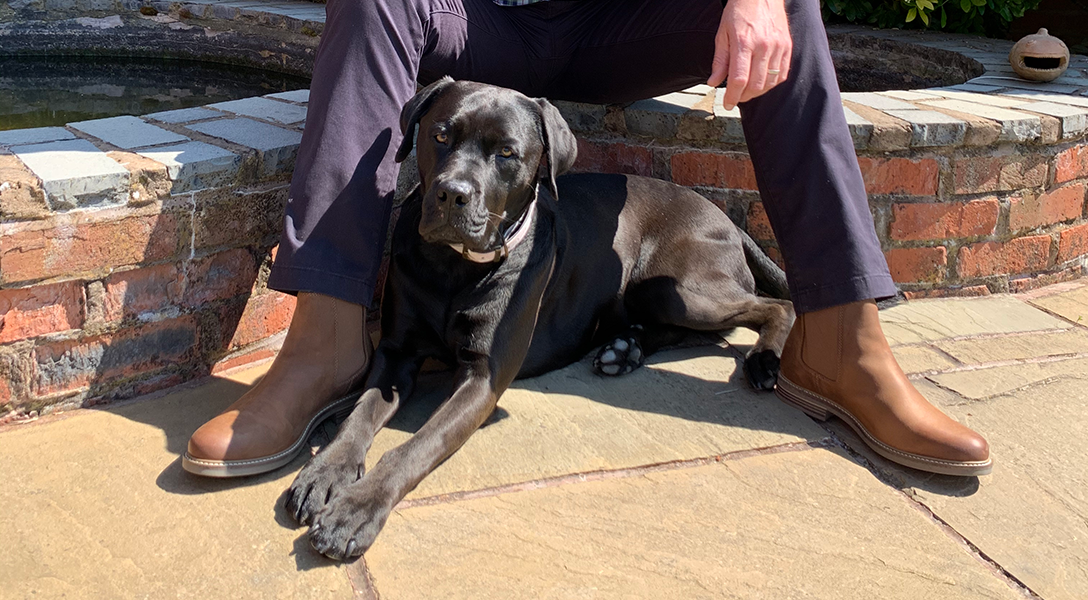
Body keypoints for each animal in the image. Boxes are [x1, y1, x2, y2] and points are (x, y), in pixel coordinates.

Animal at [280, 77, 796, 561]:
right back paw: (623, 349)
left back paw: (761, 361)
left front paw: (355, 509)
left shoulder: (482, 379)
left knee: (772, 308)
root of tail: (727, 219)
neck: (452, 267)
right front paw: (324, 472)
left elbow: (414, 447)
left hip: (677, 289)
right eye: (440, 135)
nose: (451, 194)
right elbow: (358, 417)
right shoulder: (395, 352)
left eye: (507, 153)